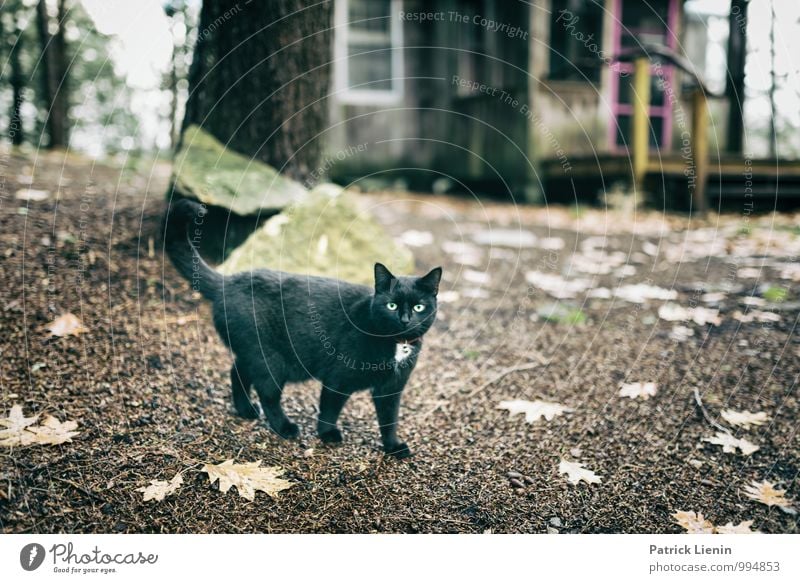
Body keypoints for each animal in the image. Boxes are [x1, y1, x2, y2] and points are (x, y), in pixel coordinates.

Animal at [166, 198, 440, 458]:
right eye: (392, 305)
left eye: (418, 307)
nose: (405, 319)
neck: (396, 346)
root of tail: (228, 282)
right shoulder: (338, 378)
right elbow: (330, 407)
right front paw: (328, 434)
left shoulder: (391, 389)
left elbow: (389, 419)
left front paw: (393, 447)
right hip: (271, 359)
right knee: (267, 394)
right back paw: (284, 427)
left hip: (255, 352)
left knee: (237, 370)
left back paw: (245, 410)